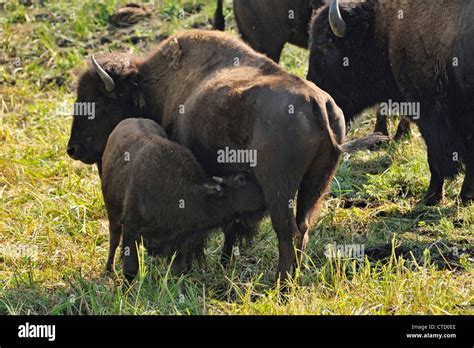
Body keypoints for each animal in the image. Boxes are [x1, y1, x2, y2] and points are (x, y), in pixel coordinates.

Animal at [101, 118, 264, 282]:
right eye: (241, 179)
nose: (264, 194)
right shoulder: (132, 228)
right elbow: (130, 269)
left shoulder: (179, 242)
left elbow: (178, 270)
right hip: (113, 213)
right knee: (114, 239)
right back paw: (108, 270)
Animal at [308, 0, 474, 205]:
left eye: (325, 45)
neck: (384, 29)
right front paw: (464, 196)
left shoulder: (431, 114)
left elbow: (436, 160)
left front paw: (430, 198)